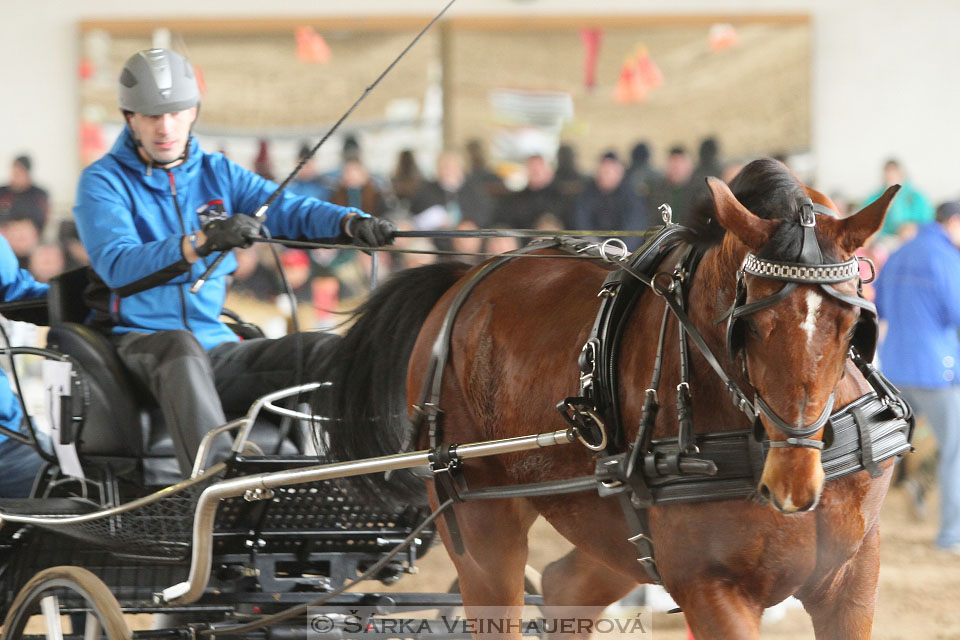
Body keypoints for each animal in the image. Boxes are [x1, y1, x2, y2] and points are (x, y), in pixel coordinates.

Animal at [322, 158, 900, 636]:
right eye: (750, 327)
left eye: (852, 325)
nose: (792, 486)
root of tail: (465, 277)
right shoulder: (710, 585)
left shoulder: (853, 579)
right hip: (480, 525)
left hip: (609, 532)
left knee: (564, 589)